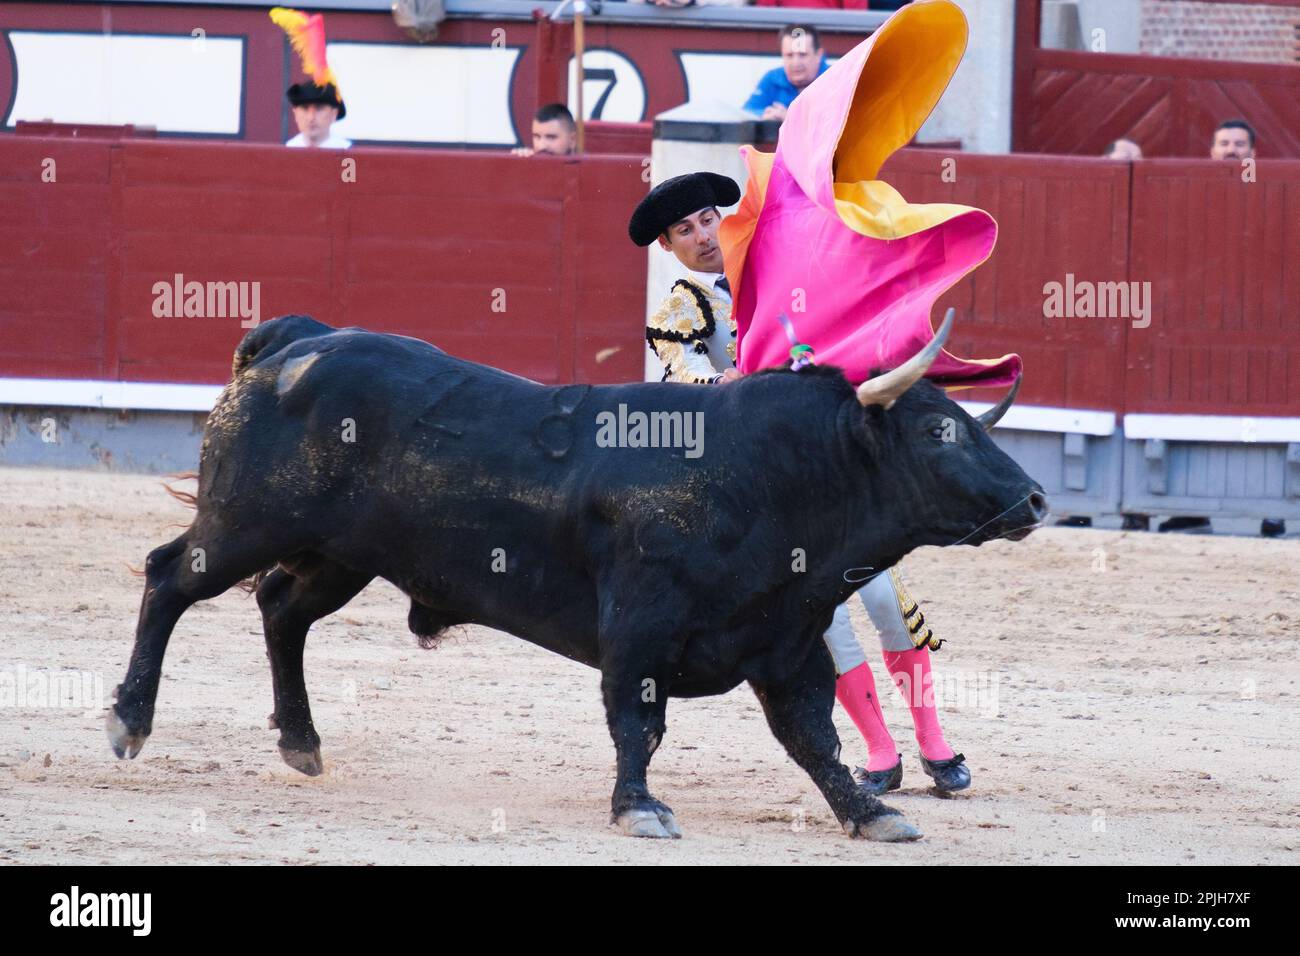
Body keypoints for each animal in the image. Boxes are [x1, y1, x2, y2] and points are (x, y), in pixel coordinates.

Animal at [109, 312, 1045, 837]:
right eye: (938, 431)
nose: (1035, 498)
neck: (769, 473)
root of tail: (291, 343)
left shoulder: (786, 640)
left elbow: (814, 735)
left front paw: (870, 812)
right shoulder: (640, 627)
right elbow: (636, 723)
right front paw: (639, 809)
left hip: (340, 557)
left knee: (280, 610)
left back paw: (301, 743)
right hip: (242, 527)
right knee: (168, 579)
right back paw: (129, 723)